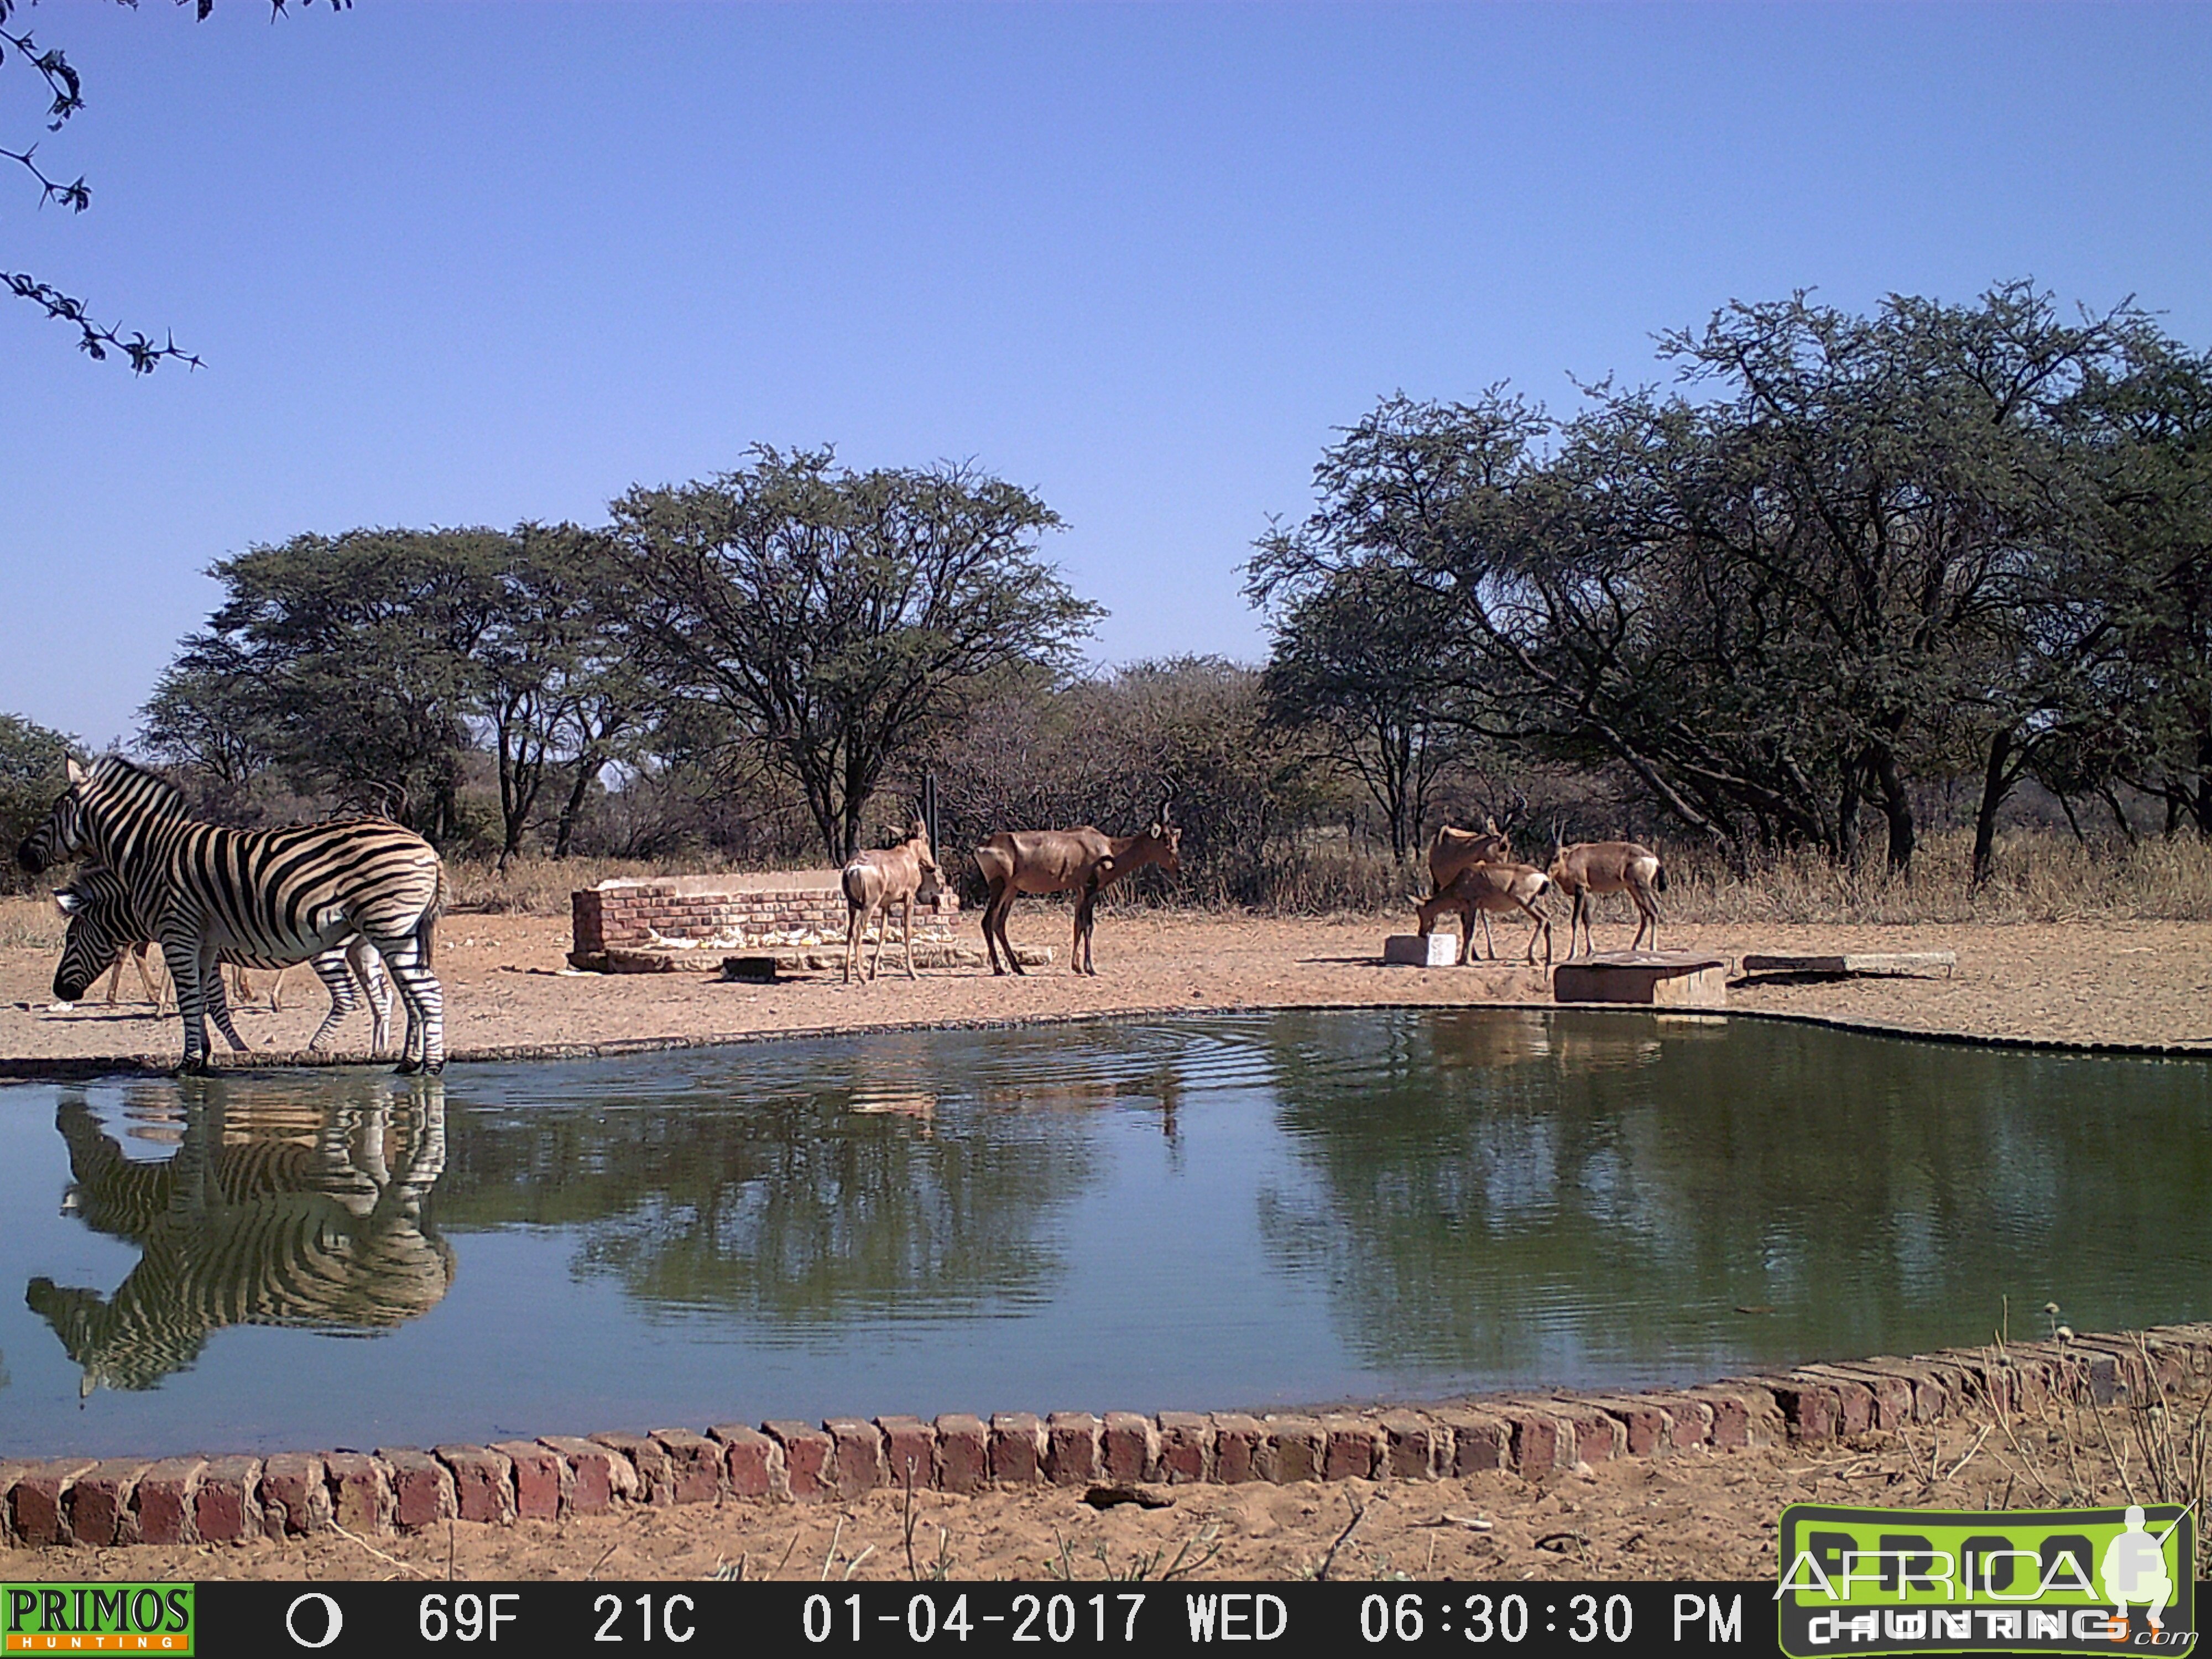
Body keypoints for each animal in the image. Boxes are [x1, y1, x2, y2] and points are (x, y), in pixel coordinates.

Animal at [52, 863, 396, 1057]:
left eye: (71, 939)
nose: (59, 991)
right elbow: (201, 998)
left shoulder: (205, 951)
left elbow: (211, 1003)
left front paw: (236, 1047)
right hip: (362, 949)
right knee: (381, 997)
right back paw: (377, 1050)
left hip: (337, 949)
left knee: (355, 997)